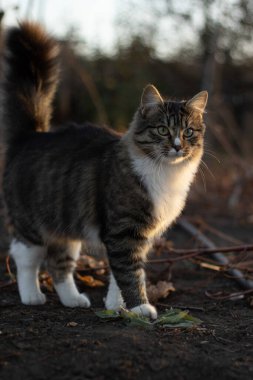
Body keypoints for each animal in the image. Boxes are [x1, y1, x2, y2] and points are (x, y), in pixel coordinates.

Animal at [0, 20, 208, 318]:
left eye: (188, 131)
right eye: (162, 130)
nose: (178, 146)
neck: (166, 175)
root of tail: (31, 136)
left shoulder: (136, 236)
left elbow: (119, 276)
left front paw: (116, 306)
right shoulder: (123, 230)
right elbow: (130, 273)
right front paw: (140, 306)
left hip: (66, 225)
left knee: (59, 264)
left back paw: (72, 299)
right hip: (30, 222)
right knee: (24, 255)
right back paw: (31, 295)